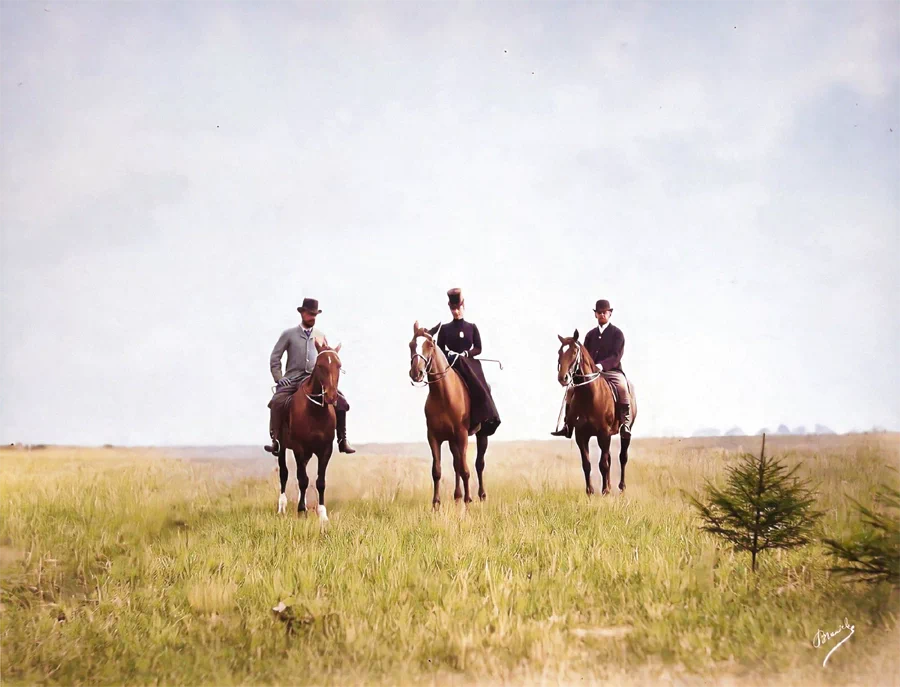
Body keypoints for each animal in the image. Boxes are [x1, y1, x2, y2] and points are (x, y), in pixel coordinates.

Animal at [274, 338, 342, 520]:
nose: (331, 396)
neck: (315, 411)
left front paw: (322, 514)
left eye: (339, 365)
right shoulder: (299, 447)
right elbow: (302, 479)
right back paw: (282, 507)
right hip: (282, 447)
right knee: (284, 474)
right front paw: (301, 511)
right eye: (319, 365)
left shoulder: (325, 449)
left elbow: (320, 481)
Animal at [410, 322, 488, 506]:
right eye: (411, 345)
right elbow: (437, 471)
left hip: (481, 434)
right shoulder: (433, 437)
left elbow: (466, 469)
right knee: (456, 464)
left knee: (479, 464)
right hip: (452, 440)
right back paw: (457, 496)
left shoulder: (462, 435)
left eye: (430, 345)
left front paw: (468, 501)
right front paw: (436, 504)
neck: (444, 395)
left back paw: (481, 496)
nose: (416, 373)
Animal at [552, 332, 636, 494]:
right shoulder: (581, 435)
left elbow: (603, 464)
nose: (563, 378)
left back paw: (621, 487)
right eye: (559, 352)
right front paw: (590, 491)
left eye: (574, 352)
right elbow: (587, 464)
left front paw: (605, 491)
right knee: (609, 458)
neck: (589, 395)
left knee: (622, 457)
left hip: (623, 433)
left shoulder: (603, 434)